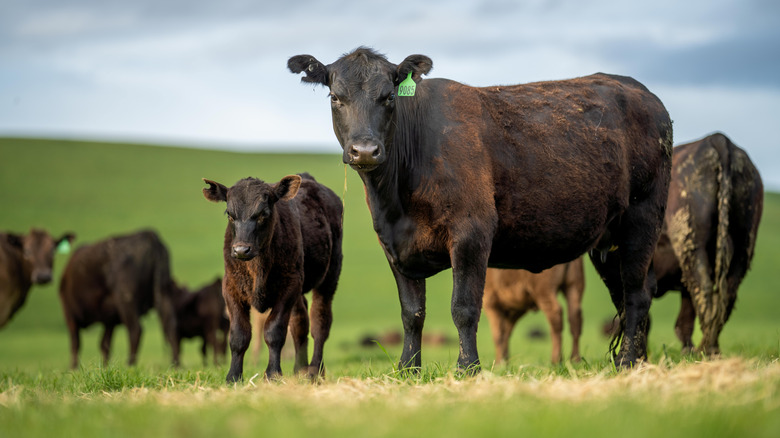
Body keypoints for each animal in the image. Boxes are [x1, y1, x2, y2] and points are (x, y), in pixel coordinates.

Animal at [58, 230, 178, 369]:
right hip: (163, 293)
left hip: (126, 299)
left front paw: (73, 368)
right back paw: (175, 364)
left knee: (135, 330)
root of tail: (149, 236)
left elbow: (76, 343)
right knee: (170, 326)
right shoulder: (109, 319)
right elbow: (104, 344)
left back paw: (130, 364)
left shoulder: (70, 313)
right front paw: (105, 367)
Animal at [202, 173, 343, 383]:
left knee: (320, 322)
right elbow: (239, 335)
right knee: (300, 322)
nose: (241, 249)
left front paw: (272, 374)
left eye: (263, 214)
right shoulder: (231, 288)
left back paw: (314, 371)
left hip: (329, 277)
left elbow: (274, 332)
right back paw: (300, 369)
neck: (257, 268)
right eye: (229, 214)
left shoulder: (288, 288)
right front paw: (233, 376)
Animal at [289, 47, 672, 371]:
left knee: (636, 293)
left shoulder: (471, 233)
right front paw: (408, 369)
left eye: (389, 97)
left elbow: (464, 308)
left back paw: (628, 361)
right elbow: (412, 313)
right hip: (609, 239)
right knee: (623, 295)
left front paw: (467, 368)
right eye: (335, 97)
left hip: (642, 218)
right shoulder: (394, 245)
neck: (397, 201)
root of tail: (642, 92)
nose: (365, 150)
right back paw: (635, 360)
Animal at [652, 132, 763, 355]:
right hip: (743, 246)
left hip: (692, 246)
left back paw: (704, 349)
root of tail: (718, 139)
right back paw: (711, 348)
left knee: (702, 288)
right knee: (727, 293)